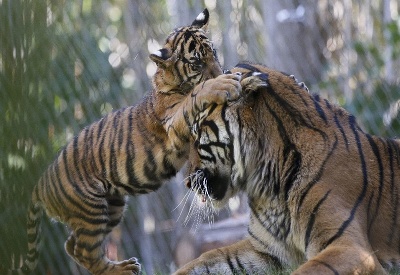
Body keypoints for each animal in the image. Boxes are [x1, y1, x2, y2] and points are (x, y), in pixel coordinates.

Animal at [7, 9, 244, 275]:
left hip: (113, 206)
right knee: (84, 250)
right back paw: (122, 269)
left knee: (72, 245)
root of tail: (41, 183)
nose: (220, 71)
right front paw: (222, 83)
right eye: (196, 63)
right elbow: (197, 93)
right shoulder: (173, 122)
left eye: (213, 53)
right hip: (91, 210)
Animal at [177, 62, 400, 275]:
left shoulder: (350, 247)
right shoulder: (264, 250)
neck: (268, 185)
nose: (187, 182)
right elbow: (207, 258)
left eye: (197, 132)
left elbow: (310, 270)